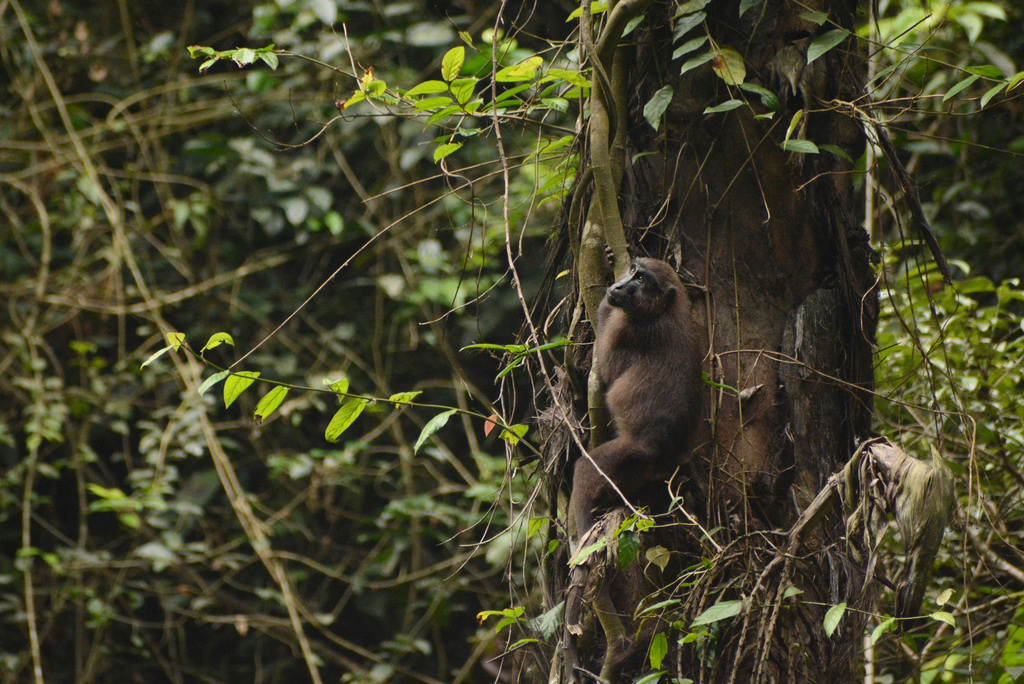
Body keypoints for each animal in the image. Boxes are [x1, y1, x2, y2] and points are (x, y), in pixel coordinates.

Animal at [572, 258, 703, 536]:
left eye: (641, 280)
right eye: (633, 271)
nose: (618, 286)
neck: (663, 309)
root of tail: (662, 460)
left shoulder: (624, 330)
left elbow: (607, 371)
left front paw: (603, 302)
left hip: (626, 458)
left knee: (585, 470)